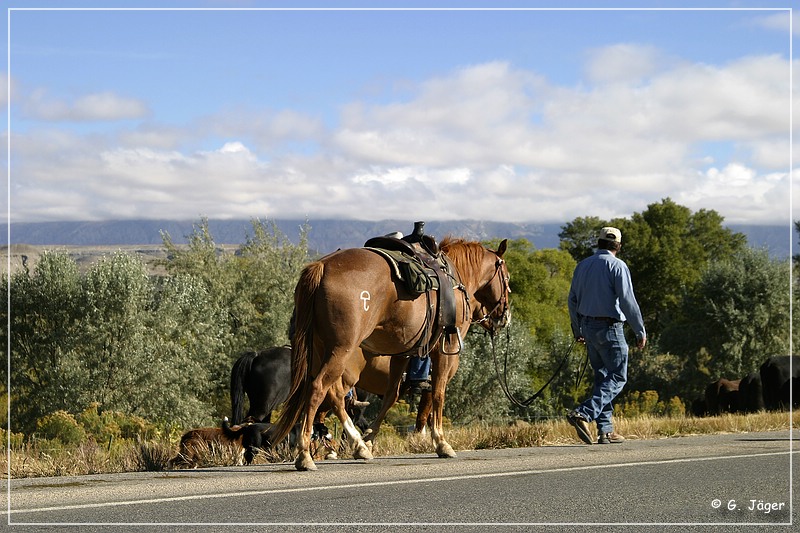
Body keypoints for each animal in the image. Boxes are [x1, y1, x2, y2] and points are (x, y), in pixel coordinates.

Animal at [272, 237, 510, 470]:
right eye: (507, 279)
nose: (504, 317)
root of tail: (321, 266)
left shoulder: (402, 354)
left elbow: (391, 395)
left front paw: (369, 438)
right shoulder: (446, 352)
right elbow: (437, 396)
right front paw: (441, 442)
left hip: (323, 353)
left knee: (334, 396)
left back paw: (357, 445)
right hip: (341, 351)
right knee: (319, 390)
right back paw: (306, 454)